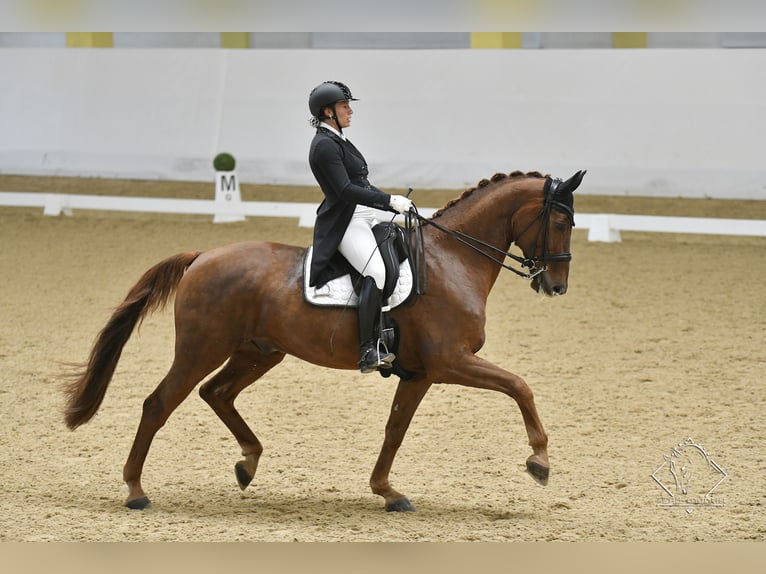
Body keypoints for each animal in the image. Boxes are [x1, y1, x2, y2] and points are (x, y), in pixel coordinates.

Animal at [64, 169, 588, 510]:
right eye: (561, 222)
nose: (556, 286)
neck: (452, 259)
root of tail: (202, 256)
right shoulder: (449, 362)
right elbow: (520, 386)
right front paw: (540, 461)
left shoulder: (420, 373)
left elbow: (395, 429)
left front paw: (387, 492)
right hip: (201, 349)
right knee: (159, 404)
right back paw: (135, 491)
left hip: (259, 352)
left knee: (217, 393)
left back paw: (248, 464)